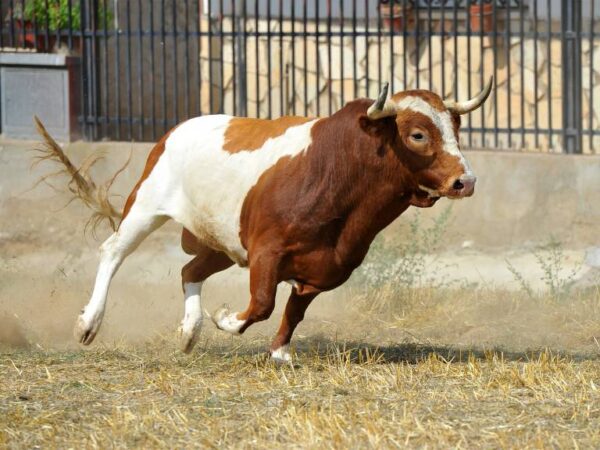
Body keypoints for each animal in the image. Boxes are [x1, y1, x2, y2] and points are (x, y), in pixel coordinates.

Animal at [72, 78, 492, 362]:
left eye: (455, 129)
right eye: (418, 134)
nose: (466, 181)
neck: (336, 168)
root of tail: (176, 130)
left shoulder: (326, 267)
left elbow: (293, 311)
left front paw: (278, 350)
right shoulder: (266, 252)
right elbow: (261, 303)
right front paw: (227, 320)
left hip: (222, 240)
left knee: (190, 271)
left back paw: (190, 331)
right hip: (146, 207)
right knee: (113, 252)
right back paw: (90, 321)